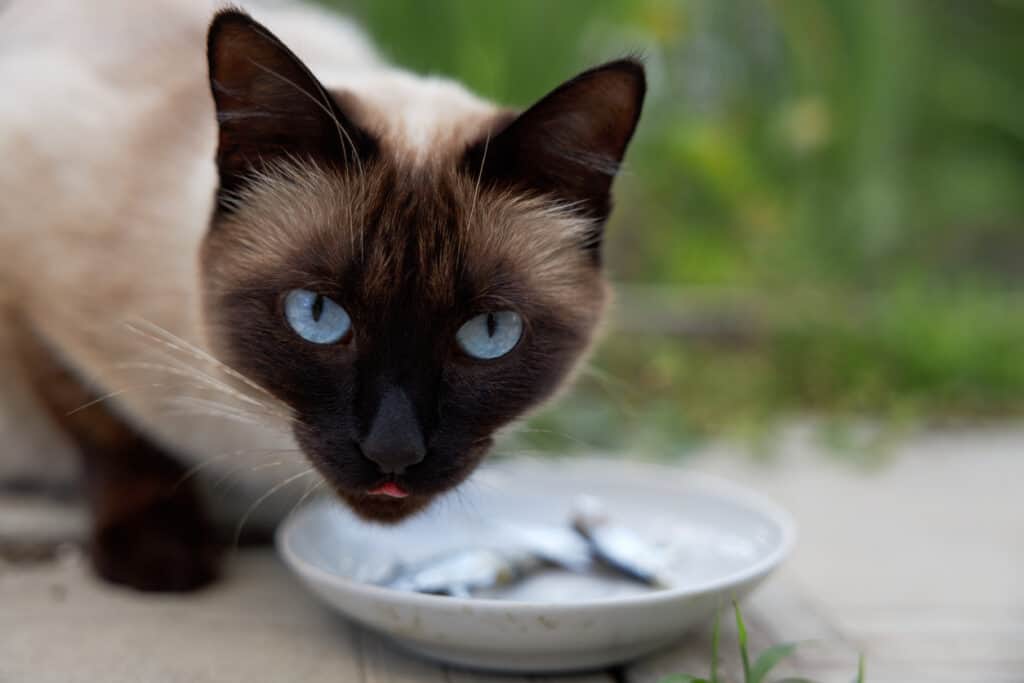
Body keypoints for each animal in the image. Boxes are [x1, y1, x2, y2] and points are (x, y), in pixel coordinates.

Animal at [0, 0, 638, 589]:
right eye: (317, 316)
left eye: (489, 333)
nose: (393, 452)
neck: (251, 426)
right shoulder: (31, 289)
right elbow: (110, 431)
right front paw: (163, 560)